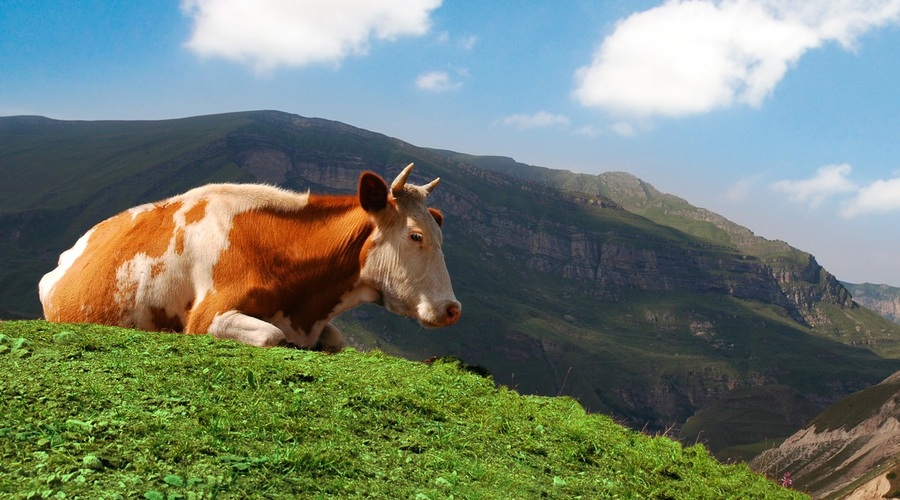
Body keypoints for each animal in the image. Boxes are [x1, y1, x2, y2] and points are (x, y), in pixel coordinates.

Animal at [38, 164, 460, 352]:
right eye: (415, 235)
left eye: (442, 237)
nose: (452, 309)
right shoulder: (208, 316)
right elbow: (272, 336)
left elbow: (337, 340)